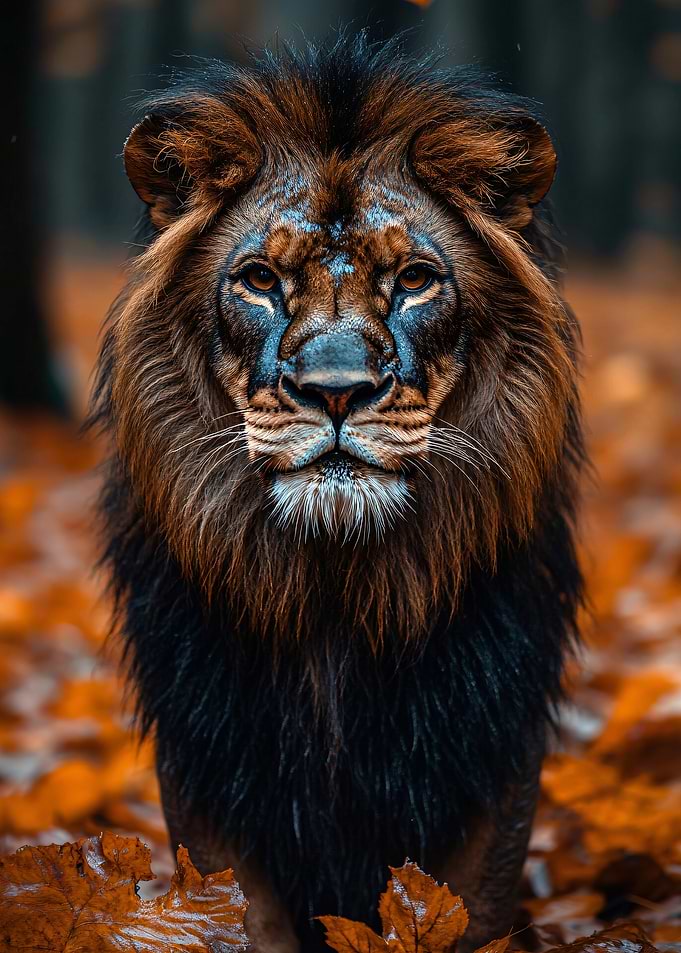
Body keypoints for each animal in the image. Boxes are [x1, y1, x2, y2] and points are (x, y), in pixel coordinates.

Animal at [91, 33, 584, 953]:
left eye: (416, 279)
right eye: (258, 279)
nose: (335, 390)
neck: (335, 594)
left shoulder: (494, 747)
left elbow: (469, 912)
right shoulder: (206, 757)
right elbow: (235, 915)